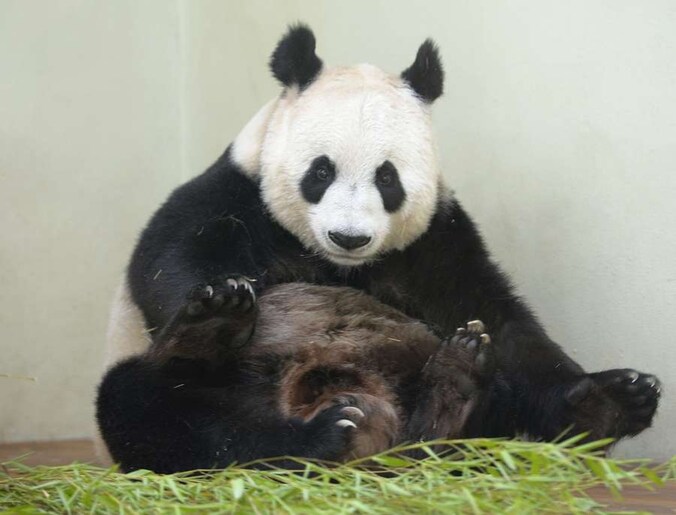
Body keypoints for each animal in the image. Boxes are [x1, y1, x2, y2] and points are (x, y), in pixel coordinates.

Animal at [97, 24, 661, 472]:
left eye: (387, 178)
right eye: (320, 171)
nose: (350, 237)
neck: (339, 265)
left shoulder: (432, 242)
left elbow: (499, 320)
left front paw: (607, 401)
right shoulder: (235, 194)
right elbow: (170, 264)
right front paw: (219, 302)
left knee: (483, 405)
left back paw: (454, 400)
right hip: (204, 393)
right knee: (161, 412)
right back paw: (301, 428)